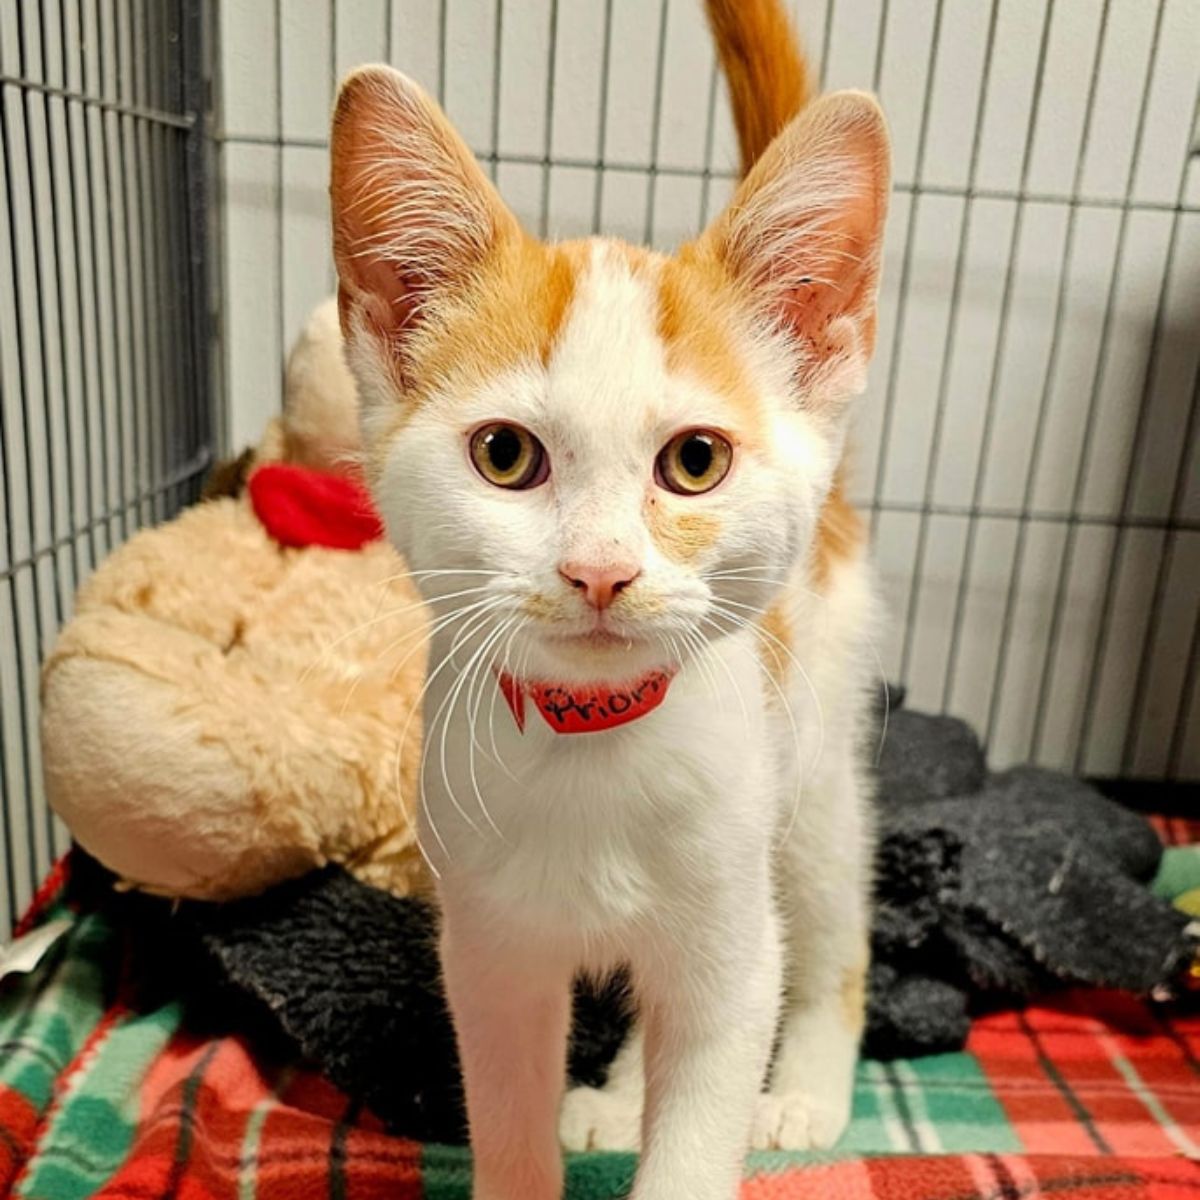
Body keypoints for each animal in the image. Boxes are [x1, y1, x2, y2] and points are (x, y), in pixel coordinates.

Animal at [333, 2, 888, 1200]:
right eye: (505, 455)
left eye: (695, 462)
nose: (599, 570)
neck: (595, 740)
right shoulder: (487, 953)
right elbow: (509, 1109)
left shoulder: (733, 935)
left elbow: (711, 1086)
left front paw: (718, 1120)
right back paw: (625, 1094)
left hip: (814, 760)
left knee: (829, 924)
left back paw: (807, 1089)